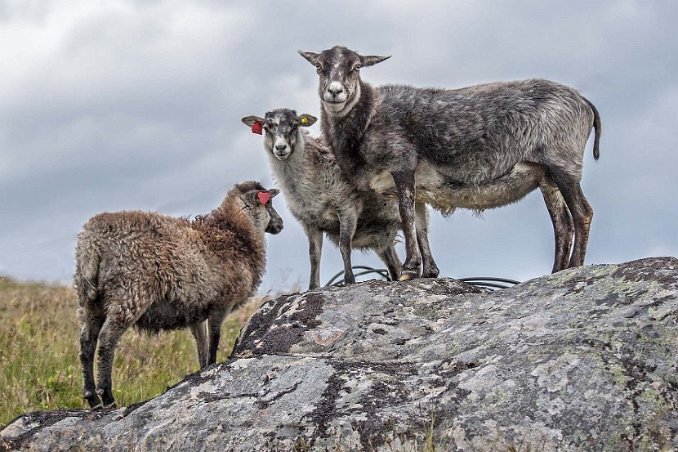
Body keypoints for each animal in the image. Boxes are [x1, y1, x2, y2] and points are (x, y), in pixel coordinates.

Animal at [75, 181, 284, 410]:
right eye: (269, 203)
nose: (280, 224)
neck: (236, 234)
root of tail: (92, 242)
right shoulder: (221, 303)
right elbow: (214, 340)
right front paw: (212, 367)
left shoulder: (197, 312)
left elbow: (202, 346)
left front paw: (203, 371)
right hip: (128, 292)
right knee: (106, 340)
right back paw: (108, 397)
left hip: (90, 299)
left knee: (87, 341)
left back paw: (92, 398)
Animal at [244, 107, 440, 288]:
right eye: (267, 127)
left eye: (294, 125)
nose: (281, 148)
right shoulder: (310, 222)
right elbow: (314, 256)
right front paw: (313, 287)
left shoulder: (347, 207)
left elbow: (344, 245)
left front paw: (349, 280)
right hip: (382, 237)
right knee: (394, 263)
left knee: (420, 231)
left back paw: (428, 271)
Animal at [300, 45, 604, 278]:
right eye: (318, 67)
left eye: (356, 67)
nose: (334, 92)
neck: (368, 118)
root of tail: (584, 102)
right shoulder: (418, 184)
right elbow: (420, 224)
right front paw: (429, 272)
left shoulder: (402, 165)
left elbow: (406, 215)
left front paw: (409, 269)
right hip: (545, 176)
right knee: (562, 224)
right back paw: (556, 272)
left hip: (563, 163)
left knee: (582, 213)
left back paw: (575, 267)